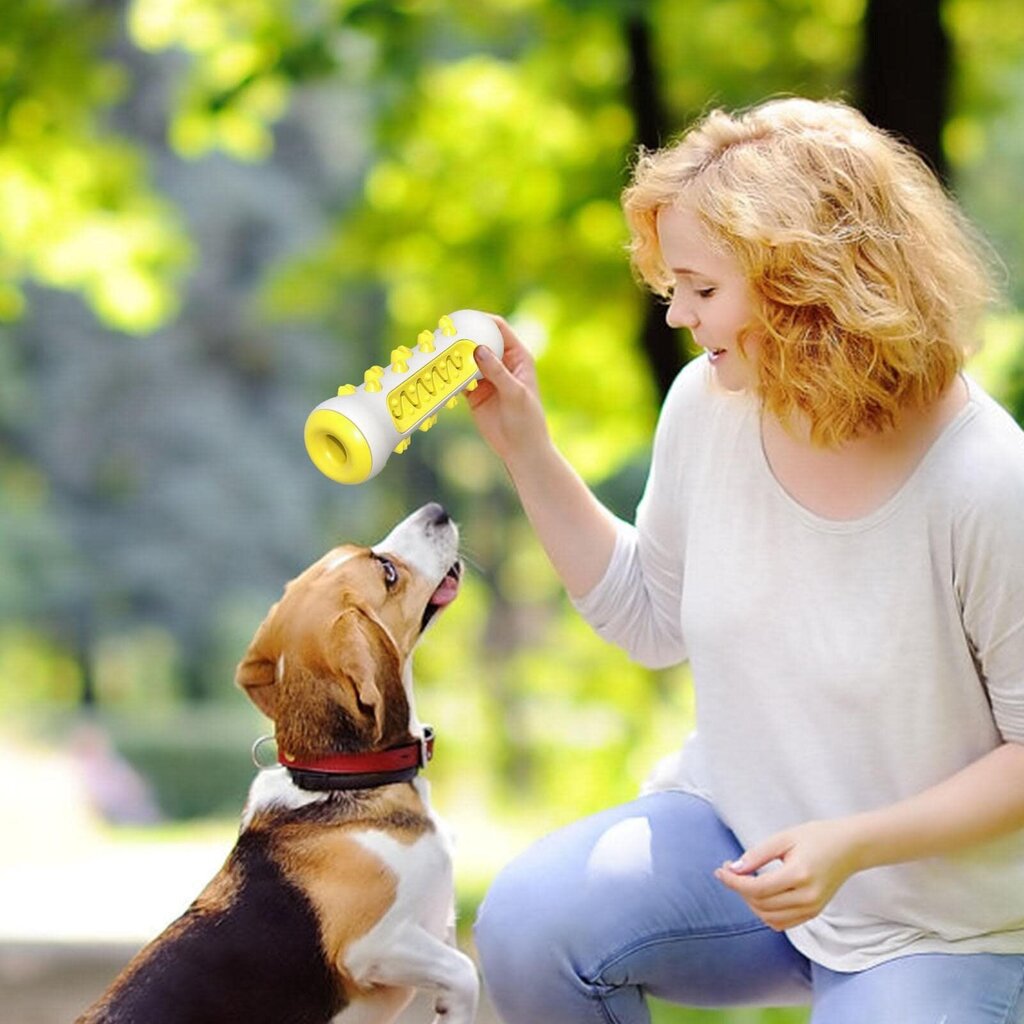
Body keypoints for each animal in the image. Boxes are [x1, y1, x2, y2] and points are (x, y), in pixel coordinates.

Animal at [77, 503, 477, 1024]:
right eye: (387, 572)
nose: (437, 511)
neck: (342, 778)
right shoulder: (373, 946)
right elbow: (465, 969)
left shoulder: (435, 925)